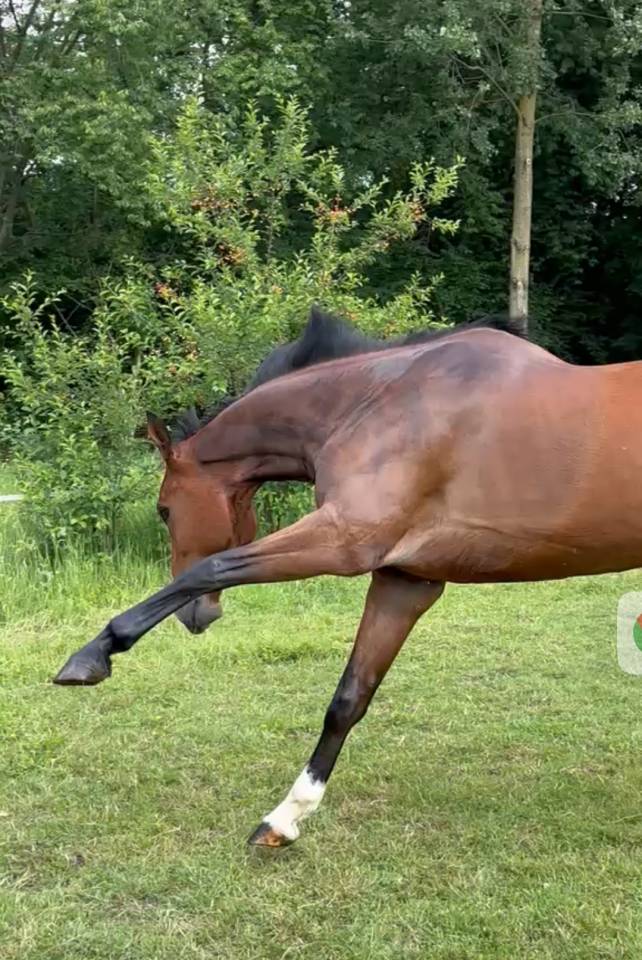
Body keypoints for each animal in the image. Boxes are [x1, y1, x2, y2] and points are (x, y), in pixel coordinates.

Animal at [53, 306, 642, 847]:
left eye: (164, 510)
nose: (200, 619)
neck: (380, 401)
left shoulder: (345, 542)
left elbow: (210, 566)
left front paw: (90, 657)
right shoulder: (404, 579)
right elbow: (349, 697)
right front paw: (284, 819)